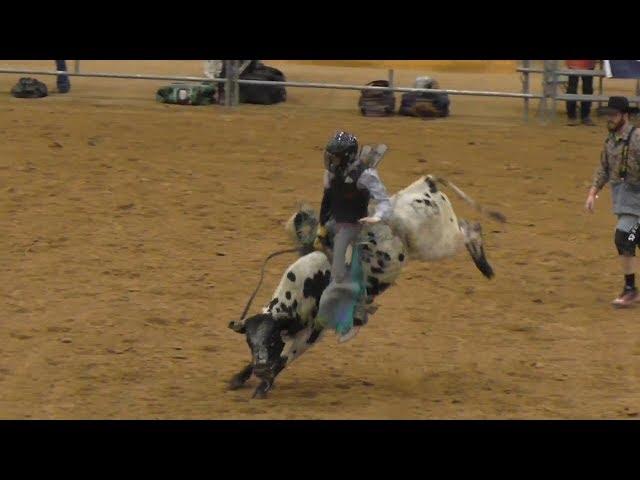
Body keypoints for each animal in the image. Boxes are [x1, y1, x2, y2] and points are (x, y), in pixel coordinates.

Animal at [228, 152, 502, 400]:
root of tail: (425, 184)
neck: (305, 286)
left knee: (471, 229)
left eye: (272, 340)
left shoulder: (315, 330)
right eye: (250, 342)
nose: (262, 367)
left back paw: (485, 266)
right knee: (467, 225)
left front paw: (263, 385)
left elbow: (287, 356)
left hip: (438, 243)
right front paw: (240, 377)